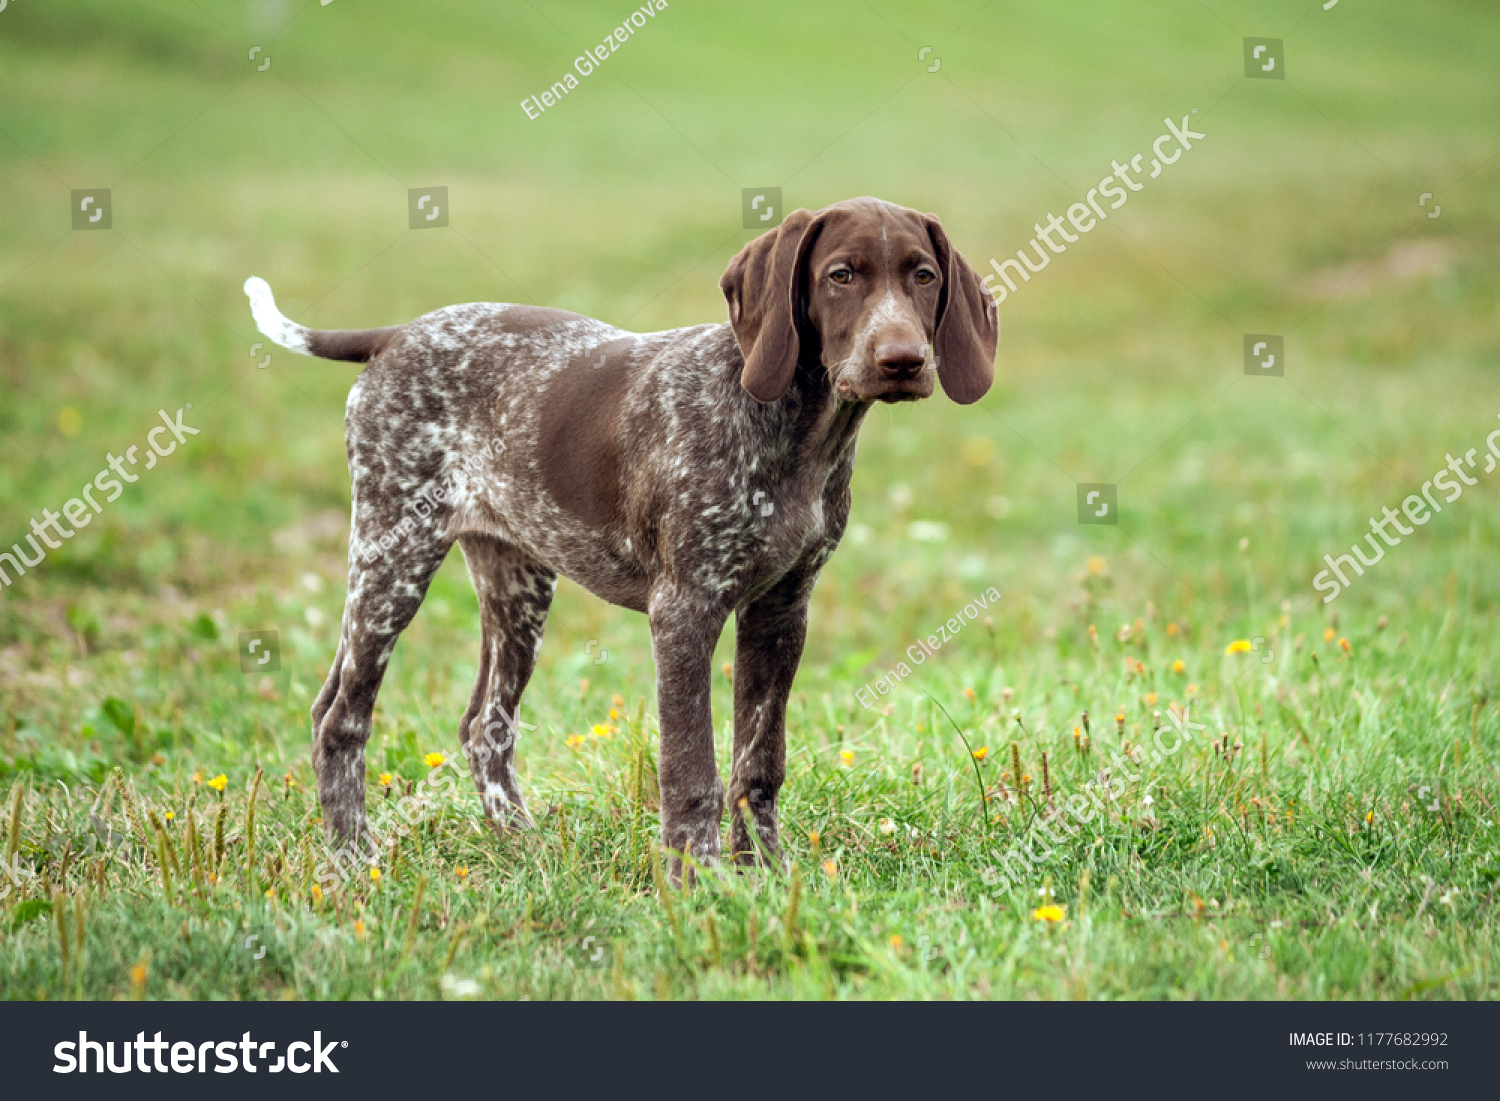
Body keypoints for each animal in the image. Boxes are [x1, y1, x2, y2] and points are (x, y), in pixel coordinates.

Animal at [243, 192, 996, 882]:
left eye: (923, 275)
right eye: (841, 275)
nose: (903, 359)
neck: (794, 430)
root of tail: (396, 334)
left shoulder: (782, 612)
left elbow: (759, 762)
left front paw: (765, 875)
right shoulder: (685, 611)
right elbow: (691, 768)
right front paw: (697, 882)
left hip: (517, 585)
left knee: (483, 725)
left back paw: (521, 844)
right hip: (394, 556)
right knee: (342, 717)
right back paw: (352, 860)